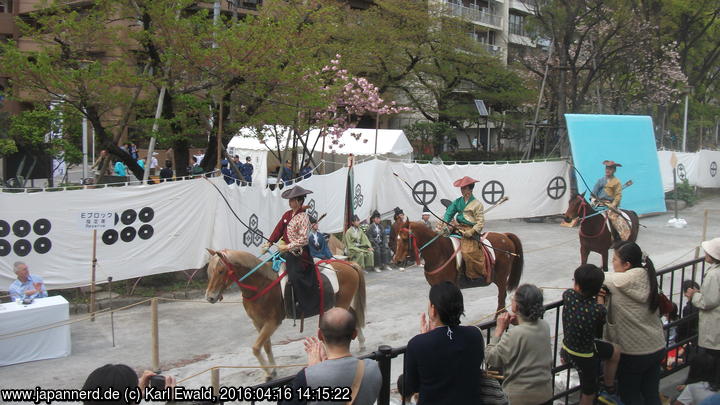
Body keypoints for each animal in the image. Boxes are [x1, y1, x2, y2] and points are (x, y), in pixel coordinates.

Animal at [205, 248, 368, 380]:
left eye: (220, 271)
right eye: (209, 272)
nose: (210, 297)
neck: (260, 285)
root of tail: (348, 264)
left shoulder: (272, 322)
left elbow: (256, 348)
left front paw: (268, 373)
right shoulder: (258, 323)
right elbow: (266, 346)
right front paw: (272, 370)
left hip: (342, 302)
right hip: (341, 303)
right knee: (353, 316)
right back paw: (361, 343)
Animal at [394, 219, 524, 314]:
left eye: (405, 239)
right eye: (397, 238)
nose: (397, 261)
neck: (440, 254)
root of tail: (505, 236)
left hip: (502, 277)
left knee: (501, 296)